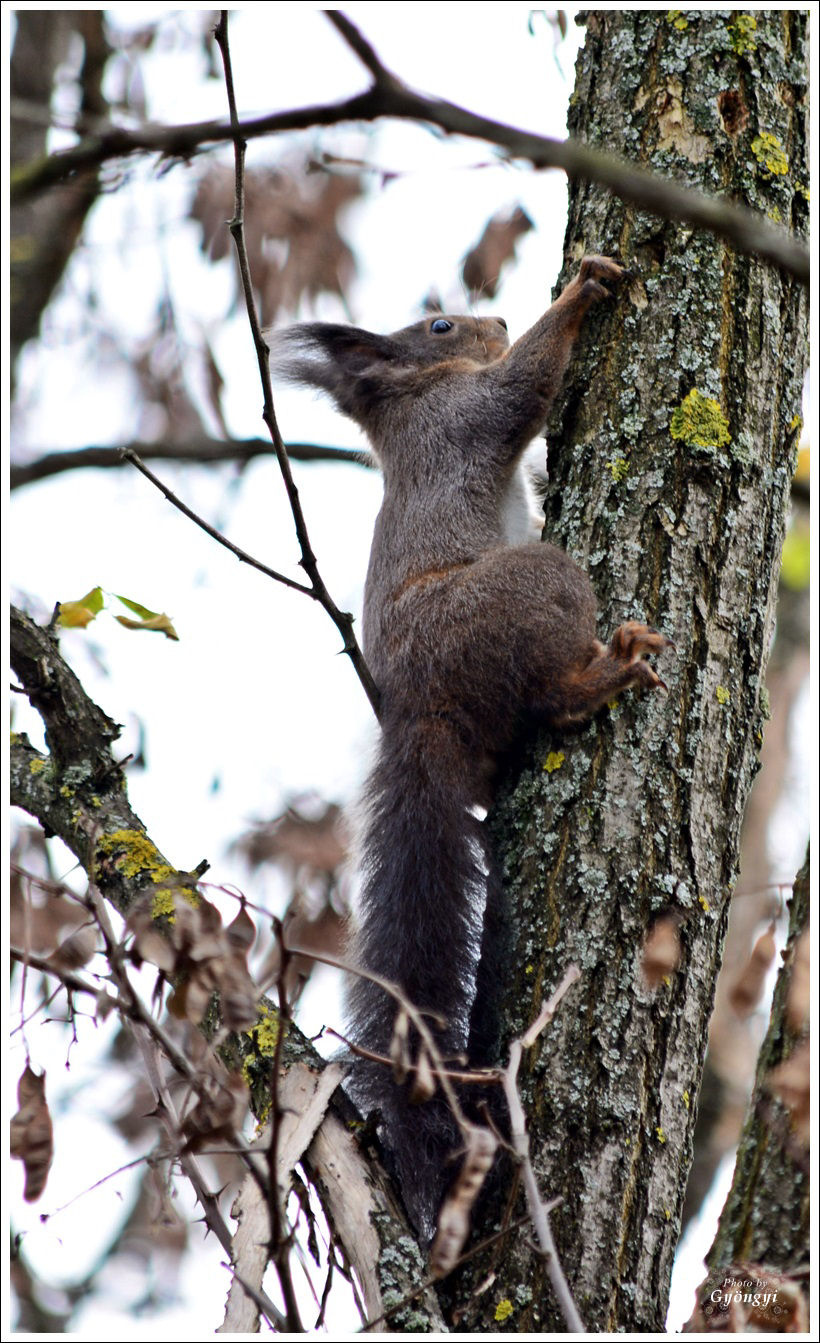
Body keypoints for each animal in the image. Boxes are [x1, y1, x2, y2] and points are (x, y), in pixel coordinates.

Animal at [269, 256, 673, 1240]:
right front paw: (579, 292)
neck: (409, 405)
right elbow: (524, 389)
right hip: (528, 589)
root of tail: (419, 710)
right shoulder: (464, 415)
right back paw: (602, 674)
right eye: (441, 327)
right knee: (552, 693)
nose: (490, 318)